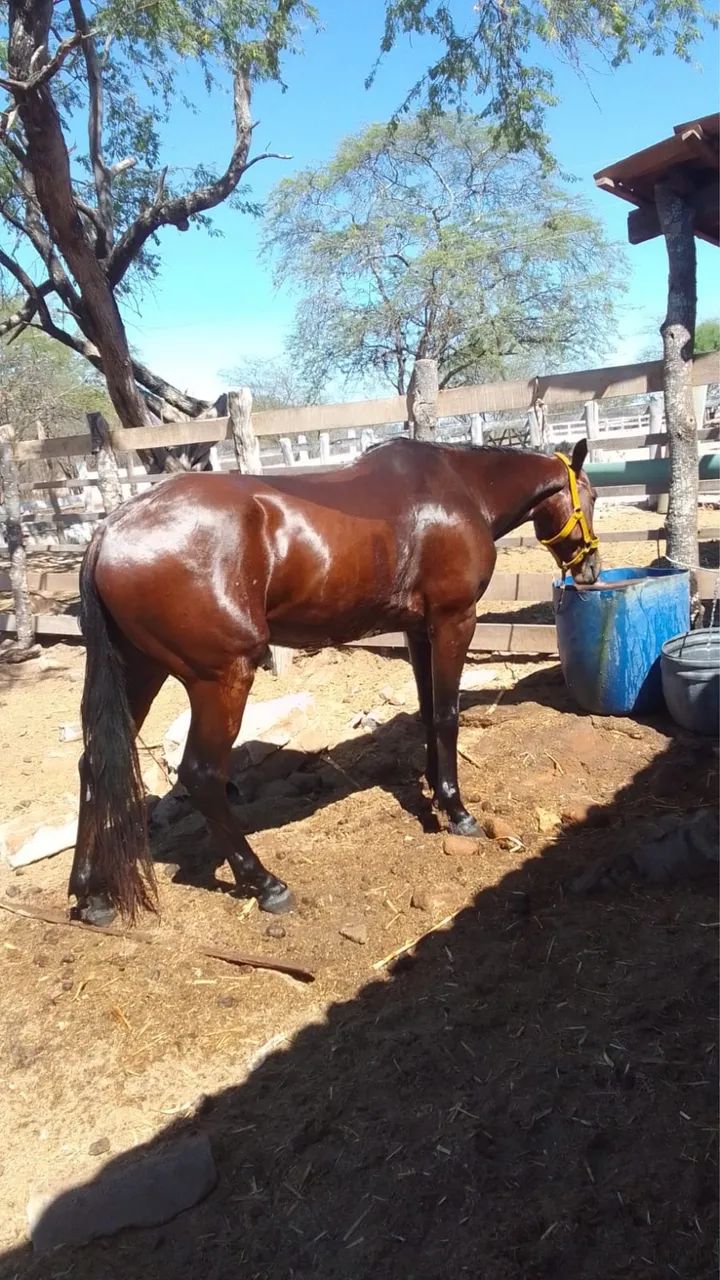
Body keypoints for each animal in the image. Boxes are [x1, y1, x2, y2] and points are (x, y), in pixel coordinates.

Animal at [69, 436, 599, 927]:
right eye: (591, 497)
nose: (591, 569)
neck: (460, 487)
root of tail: (110, 531)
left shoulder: (417, 630)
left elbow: (428, 714)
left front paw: (434, 789)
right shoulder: (454, 620)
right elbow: (447, 716)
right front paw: (457, 810)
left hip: (140, 670)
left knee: (94, 765)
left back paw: (91, 896)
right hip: (220, 679)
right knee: (201, 775)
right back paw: (266, 884)